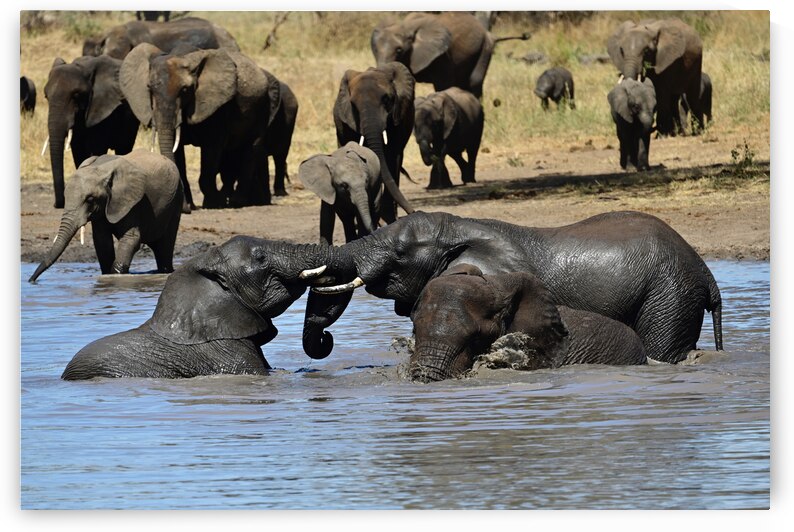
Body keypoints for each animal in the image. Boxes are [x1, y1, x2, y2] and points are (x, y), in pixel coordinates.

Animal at [28, 150, 183, 283]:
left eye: (90, 199)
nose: (31, 280)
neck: (101, 170)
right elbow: (102, 241)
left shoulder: (134, 202)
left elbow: (131, 240)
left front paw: (117, 277)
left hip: (175, 201)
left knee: (165, 246)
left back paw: (165, 271)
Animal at [43, 55, 140, 209]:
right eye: (46, 96)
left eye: (76, 95)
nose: (58, 204)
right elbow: (78, 151)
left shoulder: (102, 110)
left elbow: (97, 149)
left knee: (124, 148)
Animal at [120, 44, 285, 210]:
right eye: (149, 88)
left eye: (185, 90)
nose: (184, 208)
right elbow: (178, 151)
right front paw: (188, 206)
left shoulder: (218, 107)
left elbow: (212, 148)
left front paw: (214, 204)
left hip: (263, 105)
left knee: (251, 147)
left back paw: (237, 202)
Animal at [334, 62, 416, 224]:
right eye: (353, 105)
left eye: (387, 99)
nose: (414, 212)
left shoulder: (399, 117)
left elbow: (392, 155)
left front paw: (387, 219)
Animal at [371, 12, 529, 98]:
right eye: (375, 49)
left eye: (399, 50)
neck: (406, 26)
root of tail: (489, 33)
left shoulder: (443, 56)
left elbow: (443, 85)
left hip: (485, 48)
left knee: (474, 81)